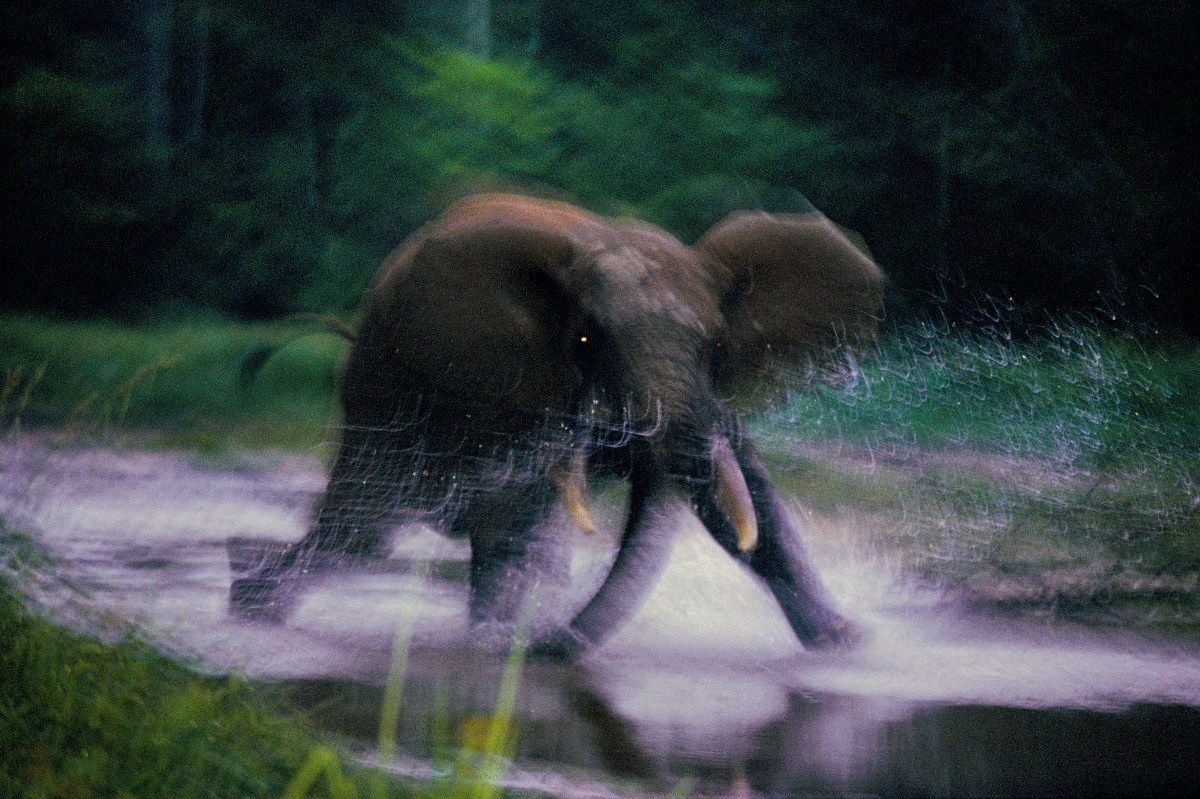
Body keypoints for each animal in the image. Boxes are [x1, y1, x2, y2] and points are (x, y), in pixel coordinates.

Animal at [229, 192, 885, 658]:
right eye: (587, 341)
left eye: (717, 347)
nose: (552, 643)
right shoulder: (510, 382)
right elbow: (513, 513)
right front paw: (504, 642)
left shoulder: (712, 400)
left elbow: (743, 498)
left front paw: (844, 647)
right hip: (378, 388)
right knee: (365, 524)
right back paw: (252, 603)